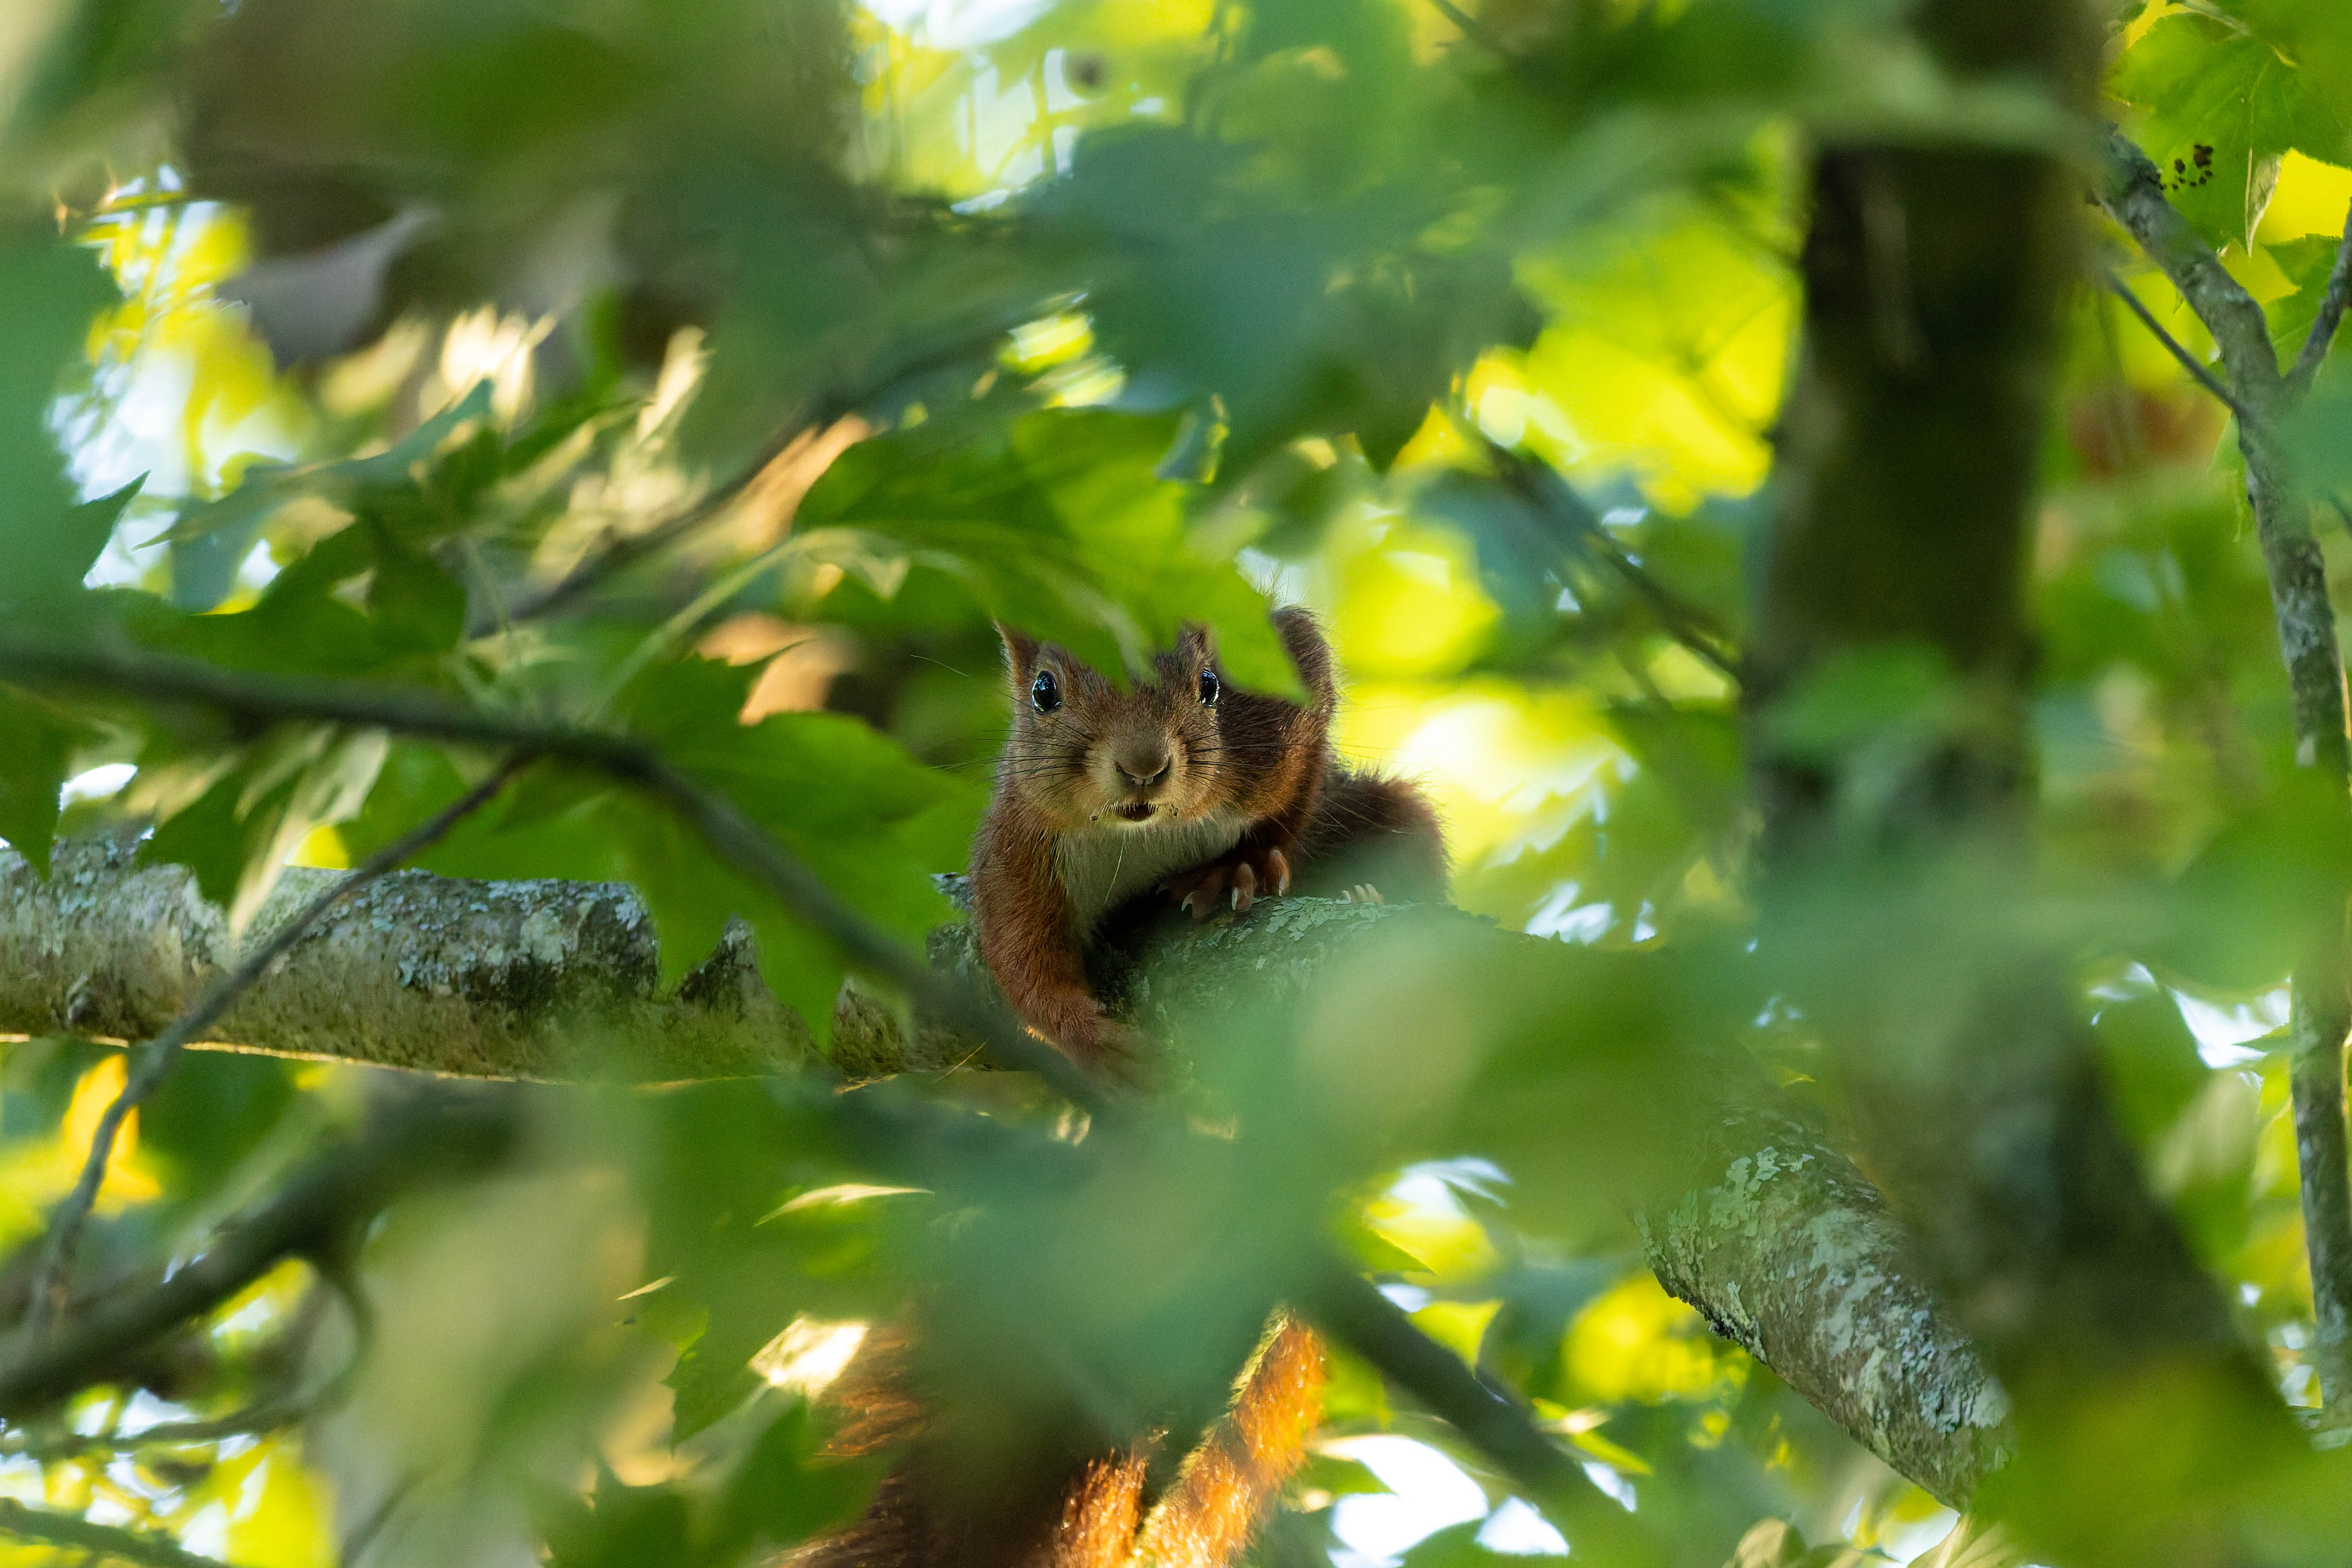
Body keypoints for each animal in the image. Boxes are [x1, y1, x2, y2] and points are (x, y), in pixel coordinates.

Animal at [970, 605, 1447, 1065]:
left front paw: (1236, 867)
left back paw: (1366, 896)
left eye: (1209, 685)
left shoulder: (1271, 723)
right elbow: (1018, 946)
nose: (1144, 765)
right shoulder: (1019, 846)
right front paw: (1087, 1036)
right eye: (1043, 691)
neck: (1146, 834)